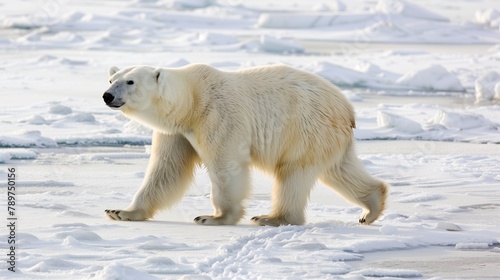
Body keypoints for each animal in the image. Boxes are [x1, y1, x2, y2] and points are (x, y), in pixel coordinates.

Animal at [103, 63, 388, 225]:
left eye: (130, 81)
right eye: (111, 80)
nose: (107, 96)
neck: (191, 100)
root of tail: (347, 109)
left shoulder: (217, 116)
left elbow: (226, 166)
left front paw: (214, 217)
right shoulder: (177, 132)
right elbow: (166, 170)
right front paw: (120, 211)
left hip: (305, 128)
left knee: (293, 174)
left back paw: (271, 218)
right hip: (327, 136)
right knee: (339, 170)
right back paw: (371, 208)